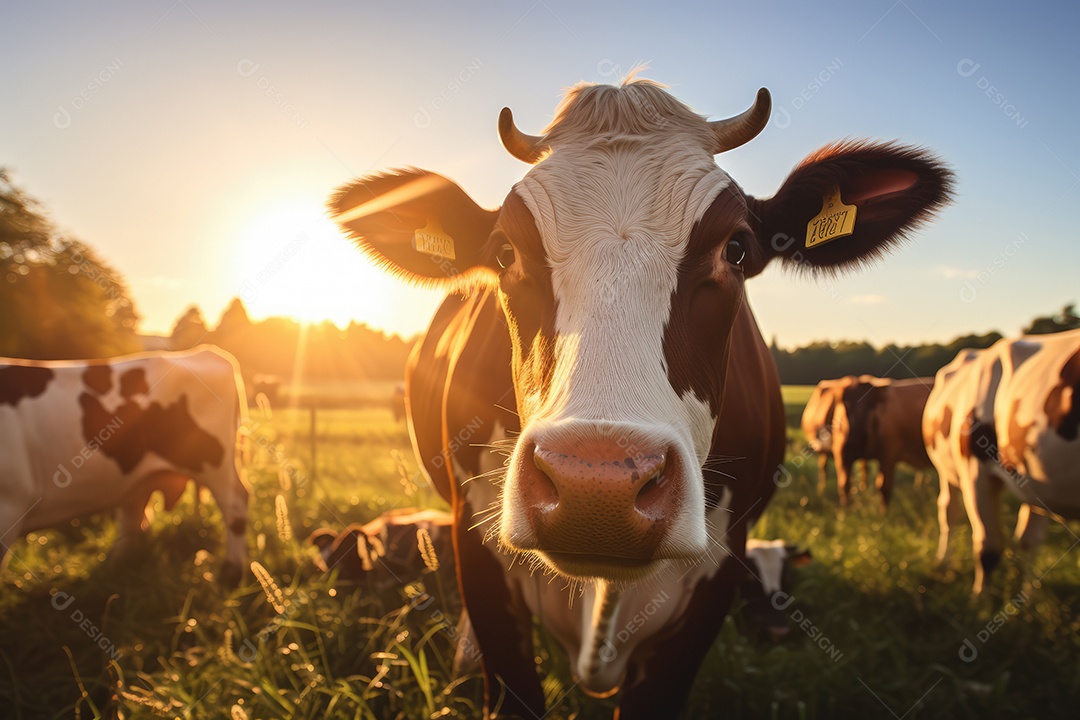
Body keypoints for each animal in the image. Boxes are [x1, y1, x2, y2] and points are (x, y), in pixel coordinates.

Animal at [0, 346, 249, 585]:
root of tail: (205, 351)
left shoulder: (12, 502)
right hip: (137, 479)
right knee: (135, 520)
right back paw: (113, 570)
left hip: (214, 464)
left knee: (235, 505)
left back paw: (231, 574)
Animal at [821, 375, 934, 511]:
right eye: (844, 403)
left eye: (871, 405)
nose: (855, 434)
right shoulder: (843, 455)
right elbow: (844, 485)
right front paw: (845, 511)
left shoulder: (888, 454)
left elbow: (884, 487)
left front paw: (884, 513)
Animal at [925, 331, 1080, 593]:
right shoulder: (976, 474)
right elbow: (988, 548)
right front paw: (981, 599)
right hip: (951, 469)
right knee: (949, 512)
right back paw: (943, 563)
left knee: (1029, 539)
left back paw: (1029, 593)